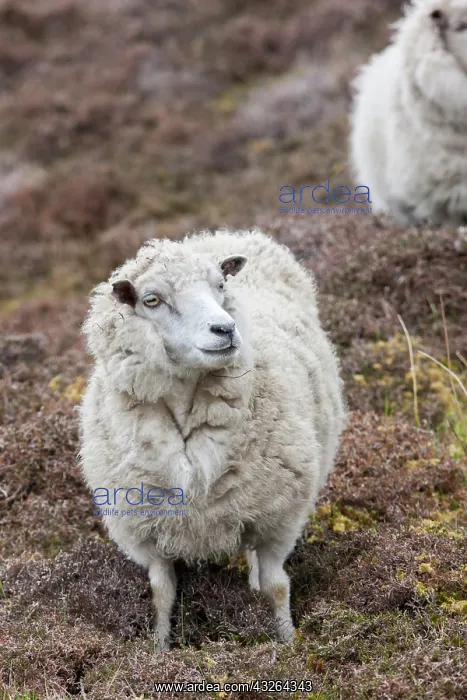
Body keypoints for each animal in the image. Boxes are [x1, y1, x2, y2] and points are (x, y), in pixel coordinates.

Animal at [79, 229, 345, 651]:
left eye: (220, 286)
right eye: (151, 300)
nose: (225, 329)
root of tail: (222, 234)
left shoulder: (278, 518)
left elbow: (277, 586)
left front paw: (288, 643)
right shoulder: (145, 530)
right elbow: (161, 592)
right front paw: (158, 650)